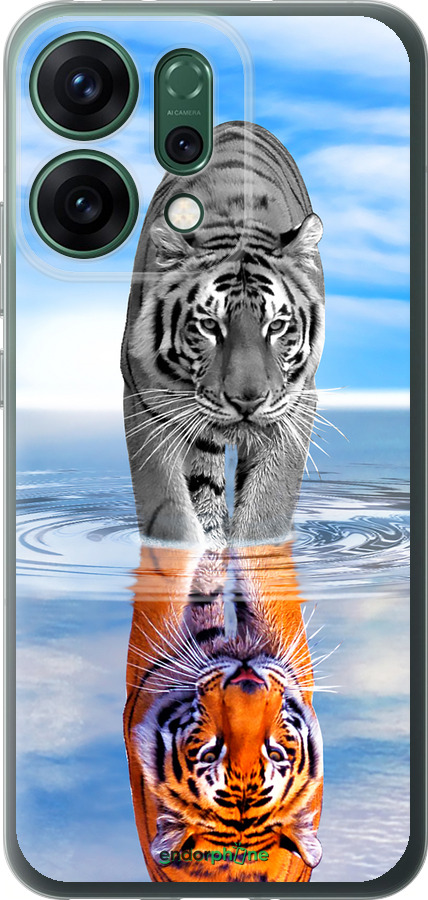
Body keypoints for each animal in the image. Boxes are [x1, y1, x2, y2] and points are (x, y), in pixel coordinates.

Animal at [121, 121, 325, 548]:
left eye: (277, 326)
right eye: (210, 326)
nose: (247, 401)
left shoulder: (296, 404)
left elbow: (267, 508)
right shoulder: (145, 401)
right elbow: (169, 510)